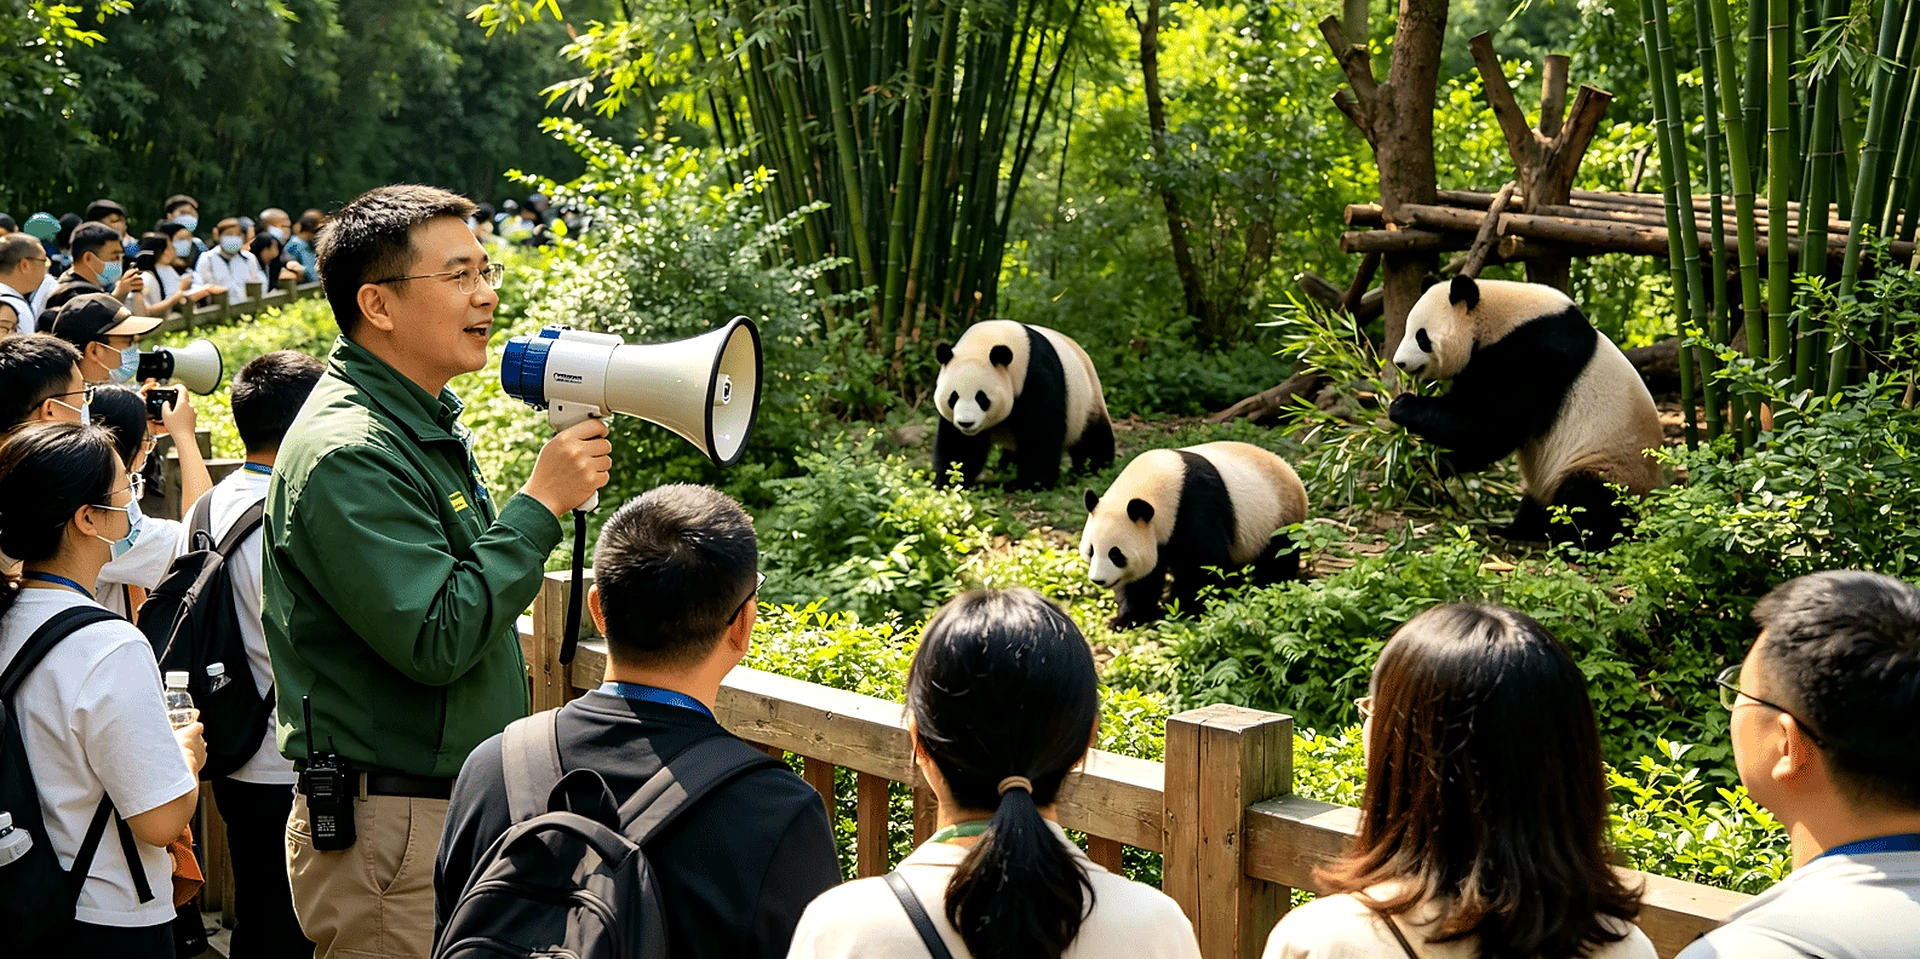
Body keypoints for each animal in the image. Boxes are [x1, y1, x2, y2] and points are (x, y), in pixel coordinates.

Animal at [933, 320, 1114, 489]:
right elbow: (960, 444)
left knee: (1093, 440)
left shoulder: (1034, 376)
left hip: (1086, 402)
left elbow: (1041, 433)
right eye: (953, 397)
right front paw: (951, 480)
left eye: (981, 398)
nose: (966, 423)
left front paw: (1030, 483)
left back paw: (1096, 467)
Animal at [1080, 441, 1309, 628]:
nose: (1098, 580)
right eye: (1091, 551)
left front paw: (1182, 609)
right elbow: (1142, 579)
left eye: (1115, 554)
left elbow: (1203, 565)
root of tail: (1293, 474)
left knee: (1277, 558)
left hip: (1278, 518)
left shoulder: (1196, 506)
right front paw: (1127, 619)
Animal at [1388, 275, 1664, 547]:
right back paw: (1513, 529)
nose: (1399, 363)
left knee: (1587, 502)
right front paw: (1429, 463)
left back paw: (1572, 544)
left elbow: (1490, 425)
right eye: (1407, 329)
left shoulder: (1535, 355)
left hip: (1610, 467)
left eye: (1421, 337)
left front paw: (1404, 408)